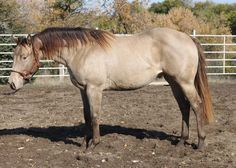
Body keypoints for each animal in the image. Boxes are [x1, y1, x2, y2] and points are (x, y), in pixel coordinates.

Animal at [7, 26, 214, 149]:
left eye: (24, 57)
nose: (12, 83)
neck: (82, 51)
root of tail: (187, 37)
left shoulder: (94, 89)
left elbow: (95, 115)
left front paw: (94, 144)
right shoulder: (83, 90)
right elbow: (86, 115)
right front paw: (85, 142)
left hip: (184, 82)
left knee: (196, 105)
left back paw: (201, 143)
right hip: (173, 82)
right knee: (184, 107)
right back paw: (181, 141)